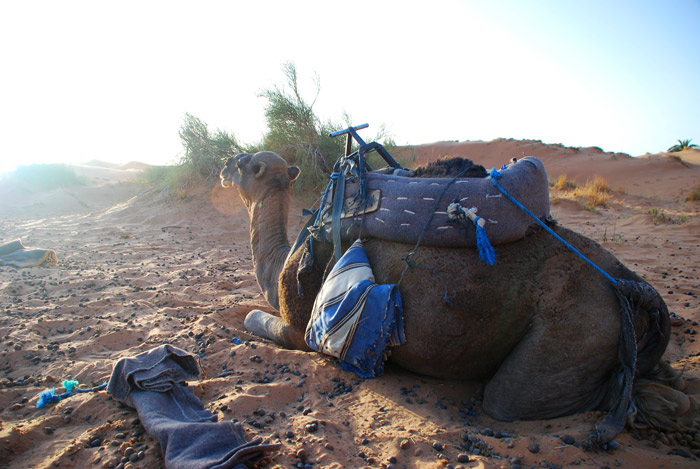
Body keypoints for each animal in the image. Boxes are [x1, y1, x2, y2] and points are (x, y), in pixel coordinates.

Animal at [220, 151, 688, 446]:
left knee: (516, 398)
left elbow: (254, 320)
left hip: (575, 325)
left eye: (244, 163)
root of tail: (627, 282)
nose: (223, 164)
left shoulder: (299, 327)